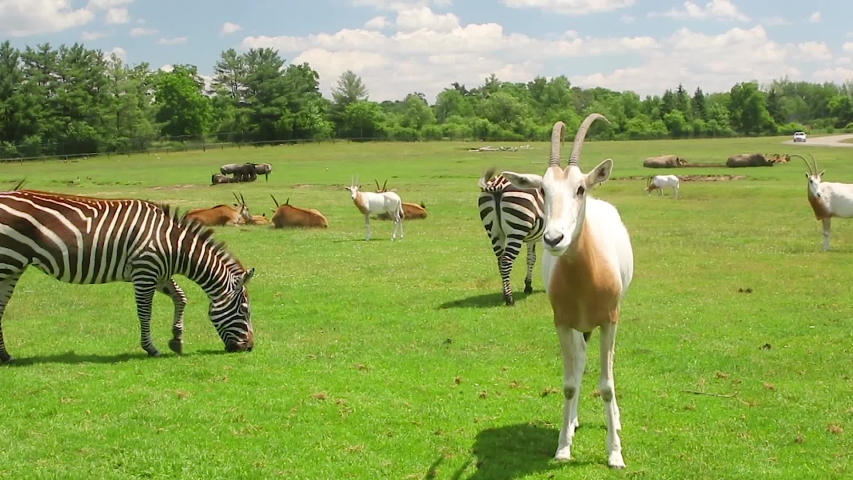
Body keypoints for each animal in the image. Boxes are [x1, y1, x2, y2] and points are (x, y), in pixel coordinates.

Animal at [0, 188, 255, 363]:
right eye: (245, 310)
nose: (250, 347)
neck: (174, 244)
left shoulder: (160, 274)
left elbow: (181, 298)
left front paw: (176, 339)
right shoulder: (145, 271)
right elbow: (145, 312)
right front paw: (151, 348)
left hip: (14, 266)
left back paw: (6, 356)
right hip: (8, 260)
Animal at [478, 167, 545, 306]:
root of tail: (498, 183)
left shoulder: (532, 239)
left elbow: (531, 258)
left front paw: (528, 286)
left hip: (494, 233)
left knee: (500, 261)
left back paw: (505, 294)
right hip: (516, 230)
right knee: (506, 261)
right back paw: (509, 299)